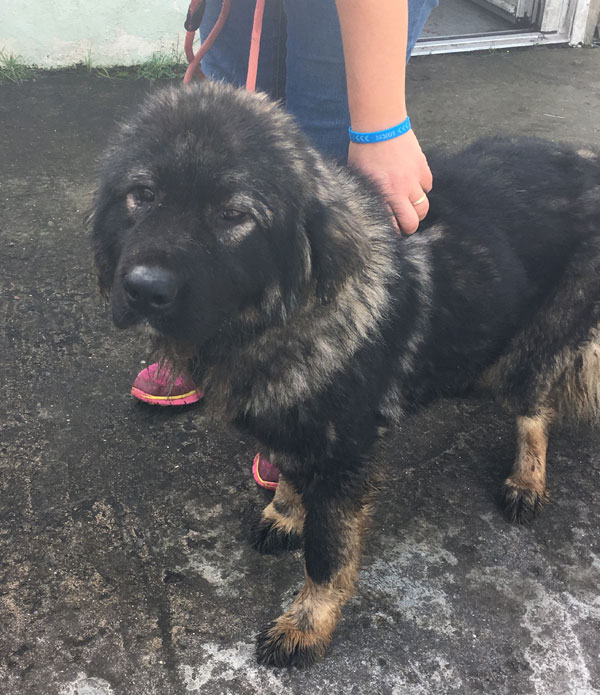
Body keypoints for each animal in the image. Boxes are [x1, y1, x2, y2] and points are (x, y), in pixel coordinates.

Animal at [89, 81, 600, 668]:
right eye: (143, 194)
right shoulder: (292, 421)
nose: (144, 289)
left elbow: (327, 554)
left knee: (536, 407)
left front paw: (307, 624)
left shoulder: (343, 458)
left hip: (530, 349)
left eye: (233, 214)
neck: (283, 317)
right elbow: (290, 474)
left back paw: (527, 479)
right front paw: (286, 512)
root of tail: (587, 161)